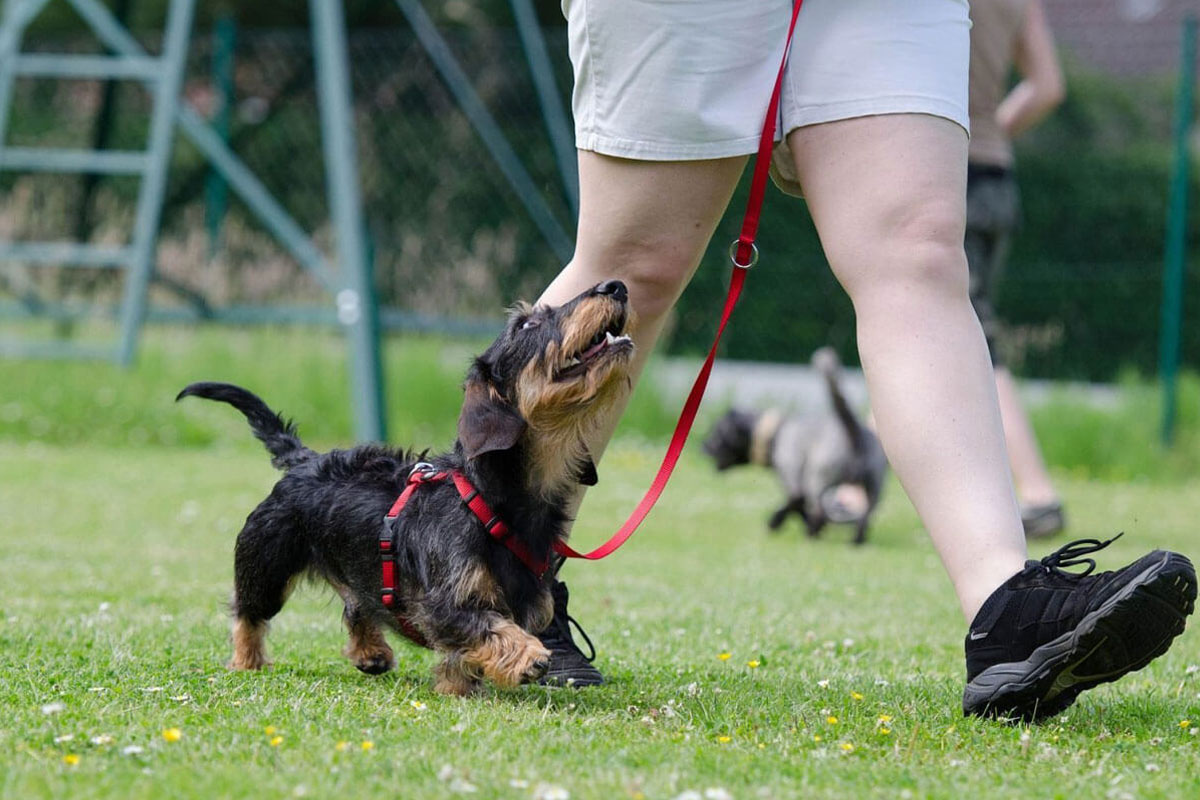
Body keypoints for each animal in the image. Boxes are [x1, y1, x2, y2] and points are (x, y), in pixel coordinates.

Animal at [177, 280, 633, 695]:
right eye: (527, 324)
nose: (615, 286)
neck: (489, 499)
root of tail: (305, 460)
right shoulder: (443, 604)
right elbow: (488, 627)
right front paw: (527, 655)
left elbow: (465, 653)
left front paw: (457, 686)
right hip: (266, 565)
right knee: (248, 614)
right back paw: (246, 661)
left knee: (357, 604)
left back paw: (371, 652)